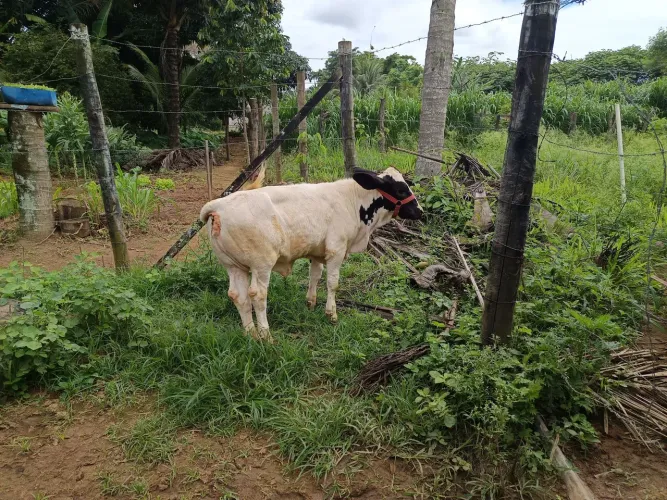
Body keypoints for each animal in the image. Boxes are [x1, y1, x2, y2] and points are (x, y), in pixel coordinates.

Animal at [199, 167, 423, 342]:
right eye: (401, 189)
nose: (420, 211)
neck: (351, 201)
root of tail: (218, 205)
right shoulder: (336, 250)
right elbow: (332, 283)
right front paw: (331, 313)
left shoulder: (317, 253)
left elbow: (314, 276)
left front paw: (311, 303)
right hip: (261, 265)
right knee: (257, 295)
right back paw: (266, 336)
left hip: (234, 266)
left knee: (238, 296)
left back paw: (251, 334)